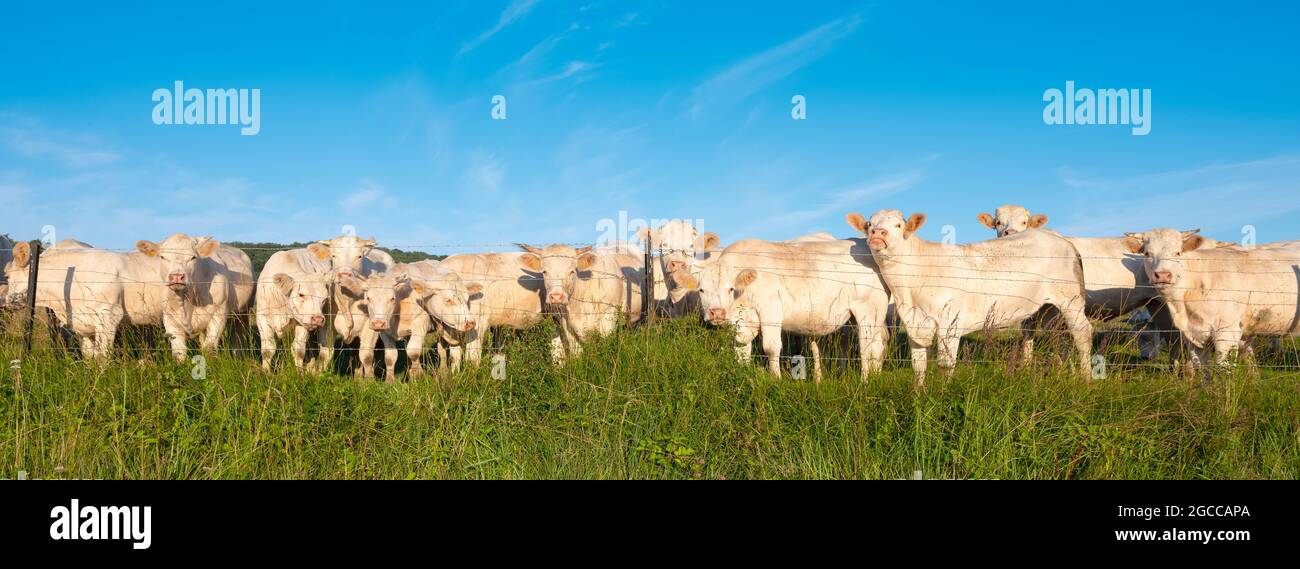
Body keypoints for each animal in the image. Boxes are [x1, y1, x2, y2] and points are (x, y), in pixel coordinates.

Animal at [670, 237, 890, 382]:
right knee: (878, 346)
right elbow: (741, 349)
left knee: (868, 348)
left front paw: (775, 378)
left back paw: (865, 382)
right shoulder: (742, 320)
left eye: (730, 288)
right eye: (701, 290)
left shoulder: (770, 309)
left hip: (869, 311)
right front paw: (742, 374)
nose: (717, 313)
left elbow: (771, 347)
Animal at [848, 210, 1092, 385]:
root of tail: (1061, 239)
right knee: (1058, 338)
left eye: (898, 225)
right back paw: (1065, 376)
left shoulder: (950, 324)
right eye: (870, 224)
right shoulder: (914, 324)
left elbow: (945, 365)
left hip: (1071, 300)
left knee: (1082, 334)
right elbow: (918, 365)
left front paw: (942, 394)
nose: (878, 233)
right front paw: (918, 395)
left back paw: (1086, 379)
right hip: (1049, 308)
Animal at [1123, 228, 1300, 376]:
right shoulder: (1193, 337)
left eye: (1178, 252)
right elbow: (1203, 372)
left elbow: (1224, 371)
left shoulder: (1227, 333)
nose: (1163, 275)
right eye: (1147, 253)